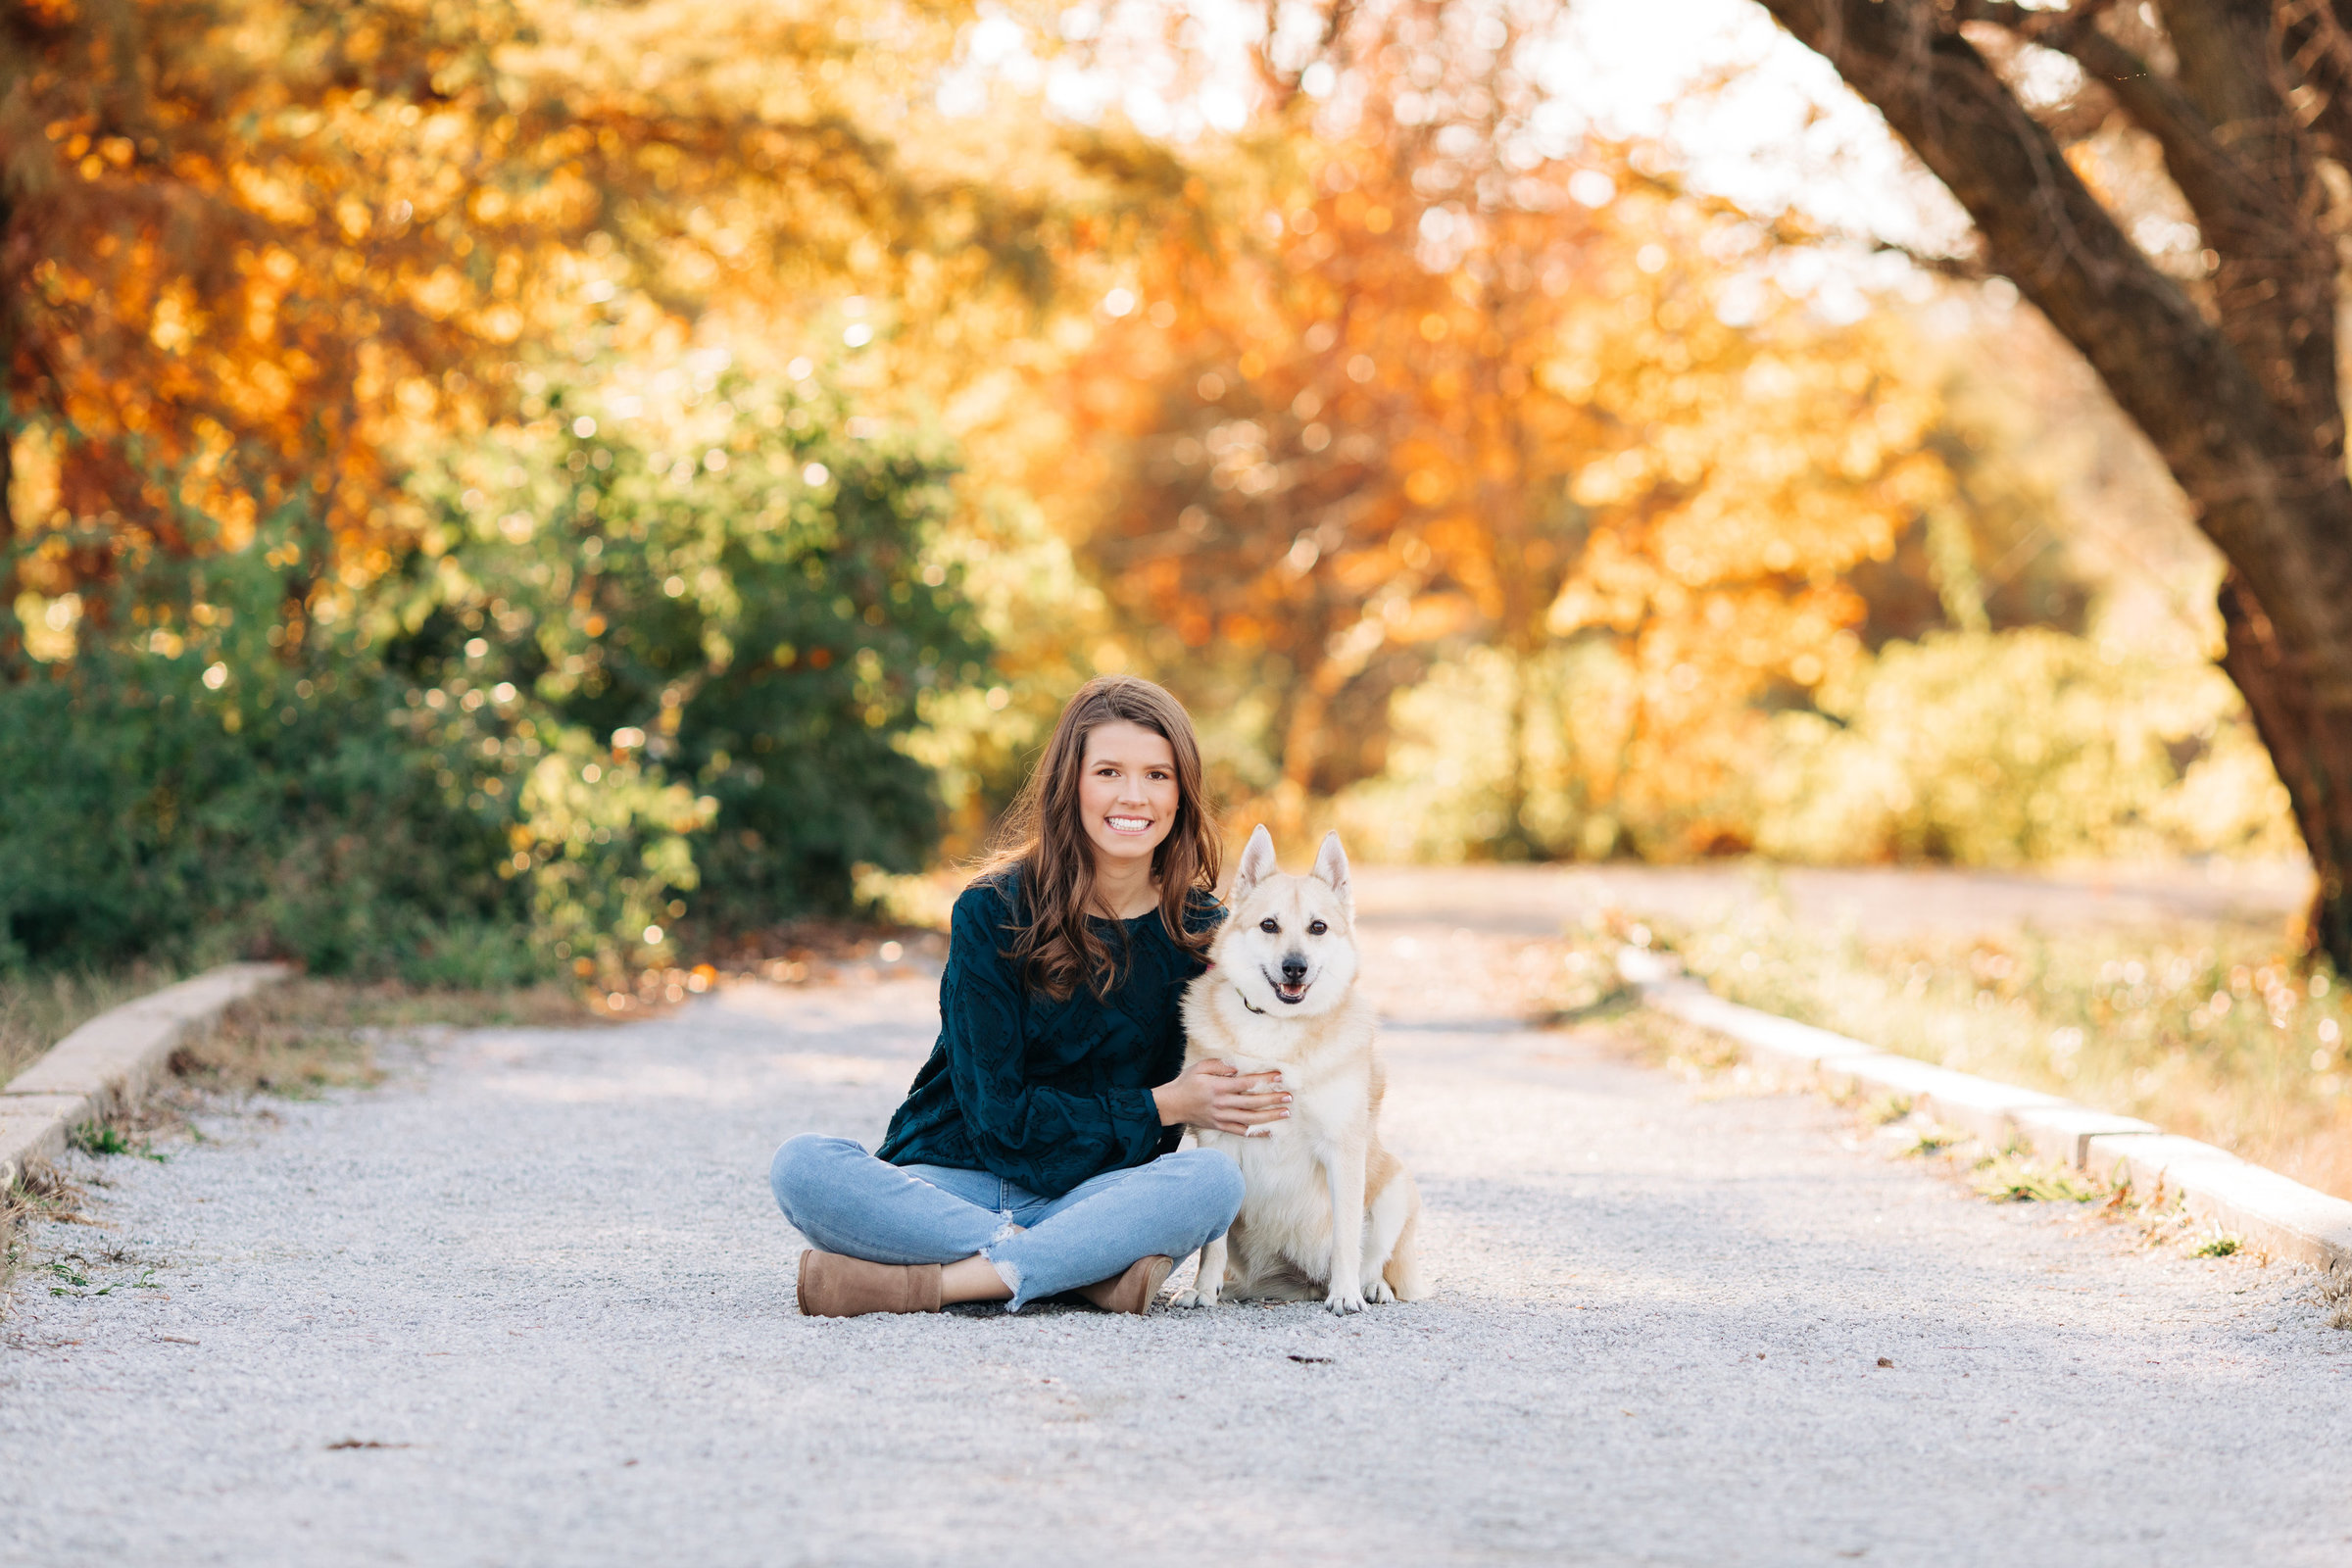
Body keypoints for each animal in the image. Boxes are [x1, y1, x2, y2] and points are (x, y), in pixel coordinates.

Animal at [1171, 827, 1420, 1316]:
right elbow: (1212, 1245)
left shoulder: (1343, 1150)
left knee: (1373, 1258)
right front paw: (1202, 1289)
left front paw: (1345, 1294)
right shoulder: (1219, 1140)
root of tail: (1301, 1280)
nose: (1295, 968)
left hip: (1396, 1187)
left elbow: (1347, 1238)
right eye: (1269, 925)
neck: (1279, 1029)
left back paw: (1368, 1286)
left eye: (1317, 927)